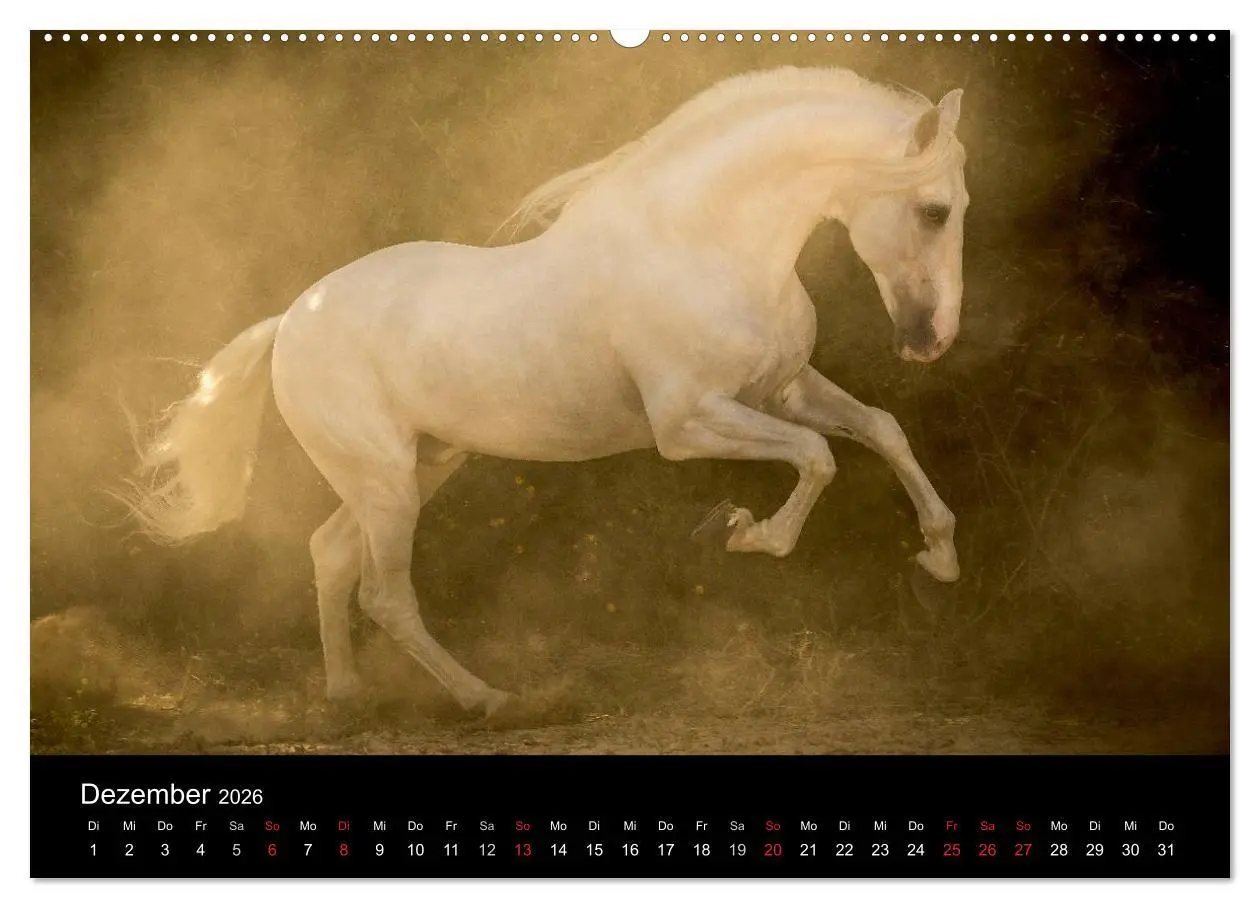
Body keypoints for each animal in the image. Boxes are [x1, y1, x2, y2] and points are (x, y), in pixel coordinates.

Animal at [122, 67, 969, 717]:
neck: (703, 243)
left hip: (419, 468)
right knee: (384, 594)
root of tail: (291, 320)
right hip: (387, 482)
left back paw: (348, 697)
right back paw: (488, 700)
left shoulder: (781, 390)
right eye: (934, 211)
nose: (932, 339)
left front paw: (939, 559)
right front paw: (738, 531)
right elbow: (820, 457)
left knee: (329, 555)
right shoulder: (688, 423)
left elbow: (880, 430)